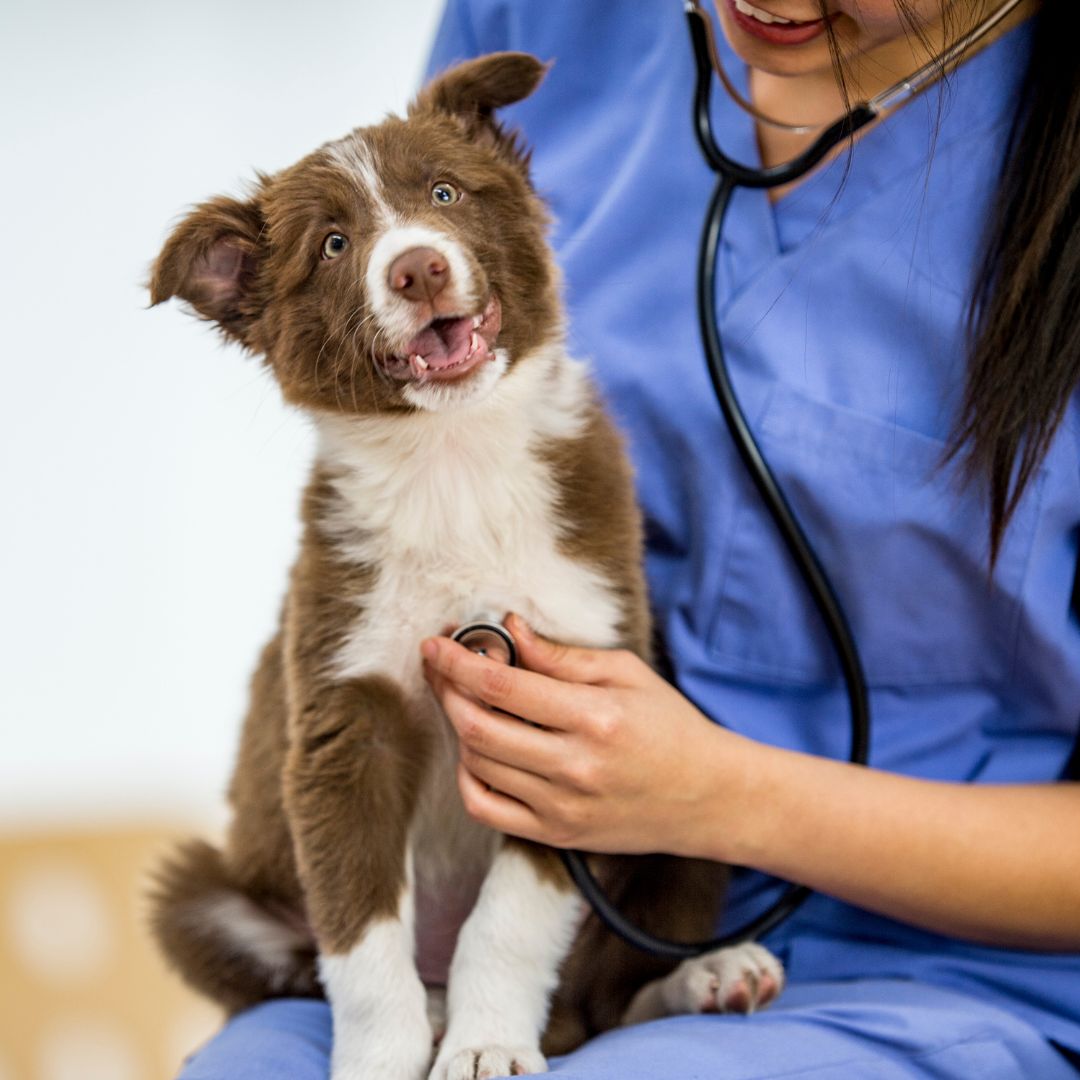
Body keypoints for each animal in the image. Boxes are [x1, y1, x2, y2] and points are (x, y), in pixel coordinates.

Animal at [147, 54, 781, 1080]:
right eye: (333, 245)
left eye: (444, 194)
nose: (418, 266)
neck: (452, 465)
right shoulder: (347, 717)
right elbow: (362, 938)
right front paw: (383, 1060)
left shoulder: (567, 707)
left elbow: (512, 919)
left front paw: (489, 1045)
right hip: (200, 893)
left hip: (691, 799)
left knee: (605, 998)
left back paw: (707, 977)